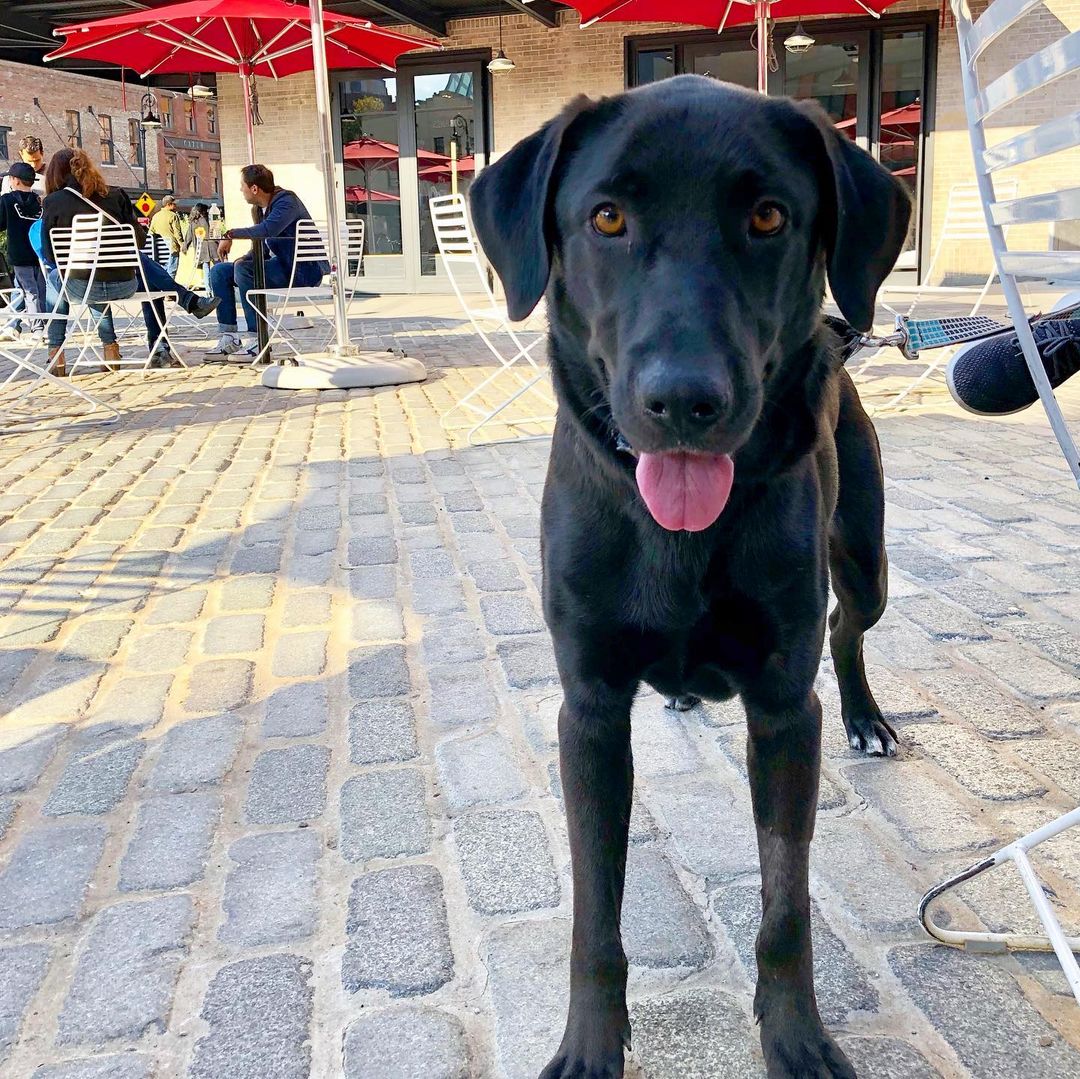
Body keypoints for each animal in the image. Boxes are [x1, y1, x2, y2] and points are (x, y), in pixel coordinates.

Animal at [470, 78, 911, 1079]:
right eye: (607, 218)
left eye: (767, 216)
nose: (683, 401)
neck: (680, 537)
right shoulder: (589, 710)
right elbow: (595, 915)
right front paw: (589, 1047)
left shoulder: (785, 711)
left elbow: (785, 907)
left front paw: (797, 1037)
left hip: (865, 561)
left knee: (848, 624)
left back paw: (866, 717)